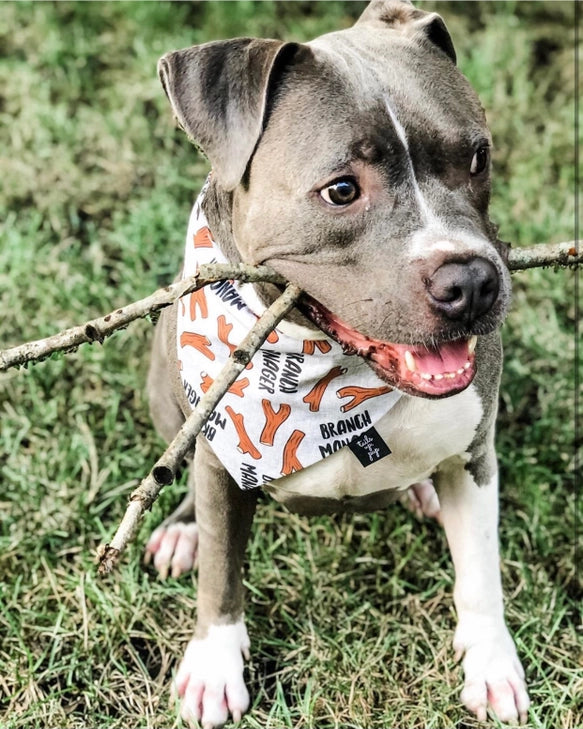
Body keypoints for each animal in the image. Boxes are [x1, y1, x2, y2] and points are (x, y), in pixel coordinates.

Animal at [145, 0, 528, 724]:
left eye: (477, 157)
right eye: (341, 190)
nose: (471, 282)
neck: (331, 380)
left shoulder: (476, 454)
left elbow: (481, 574)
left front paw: (492, 664)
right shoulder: (219, 454)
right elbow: (221, 567)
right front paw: (213, 663)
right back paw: (181, 530)